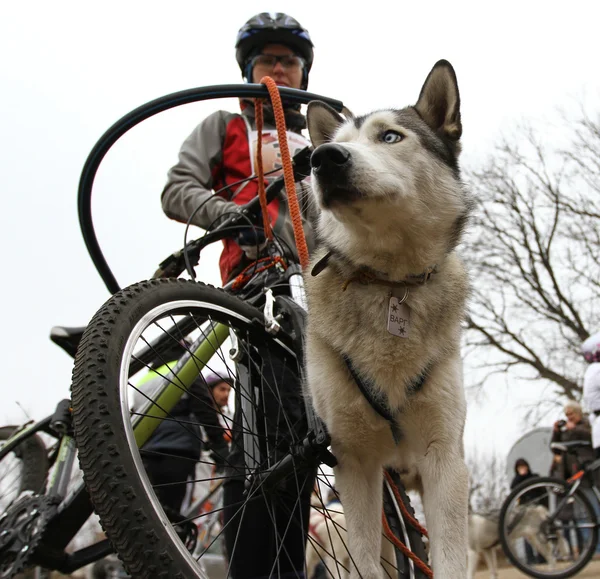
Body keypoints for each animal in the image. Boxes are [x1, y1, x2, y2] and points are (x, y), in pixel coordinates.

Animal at [304, 61, 474, 576]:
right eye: (336, 141)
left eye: (391, 137)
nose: (321, 158)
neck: (389, 283)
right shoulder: (354, 460)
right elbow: (363, 560)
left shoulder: (445, 459)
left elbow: (451, 560)